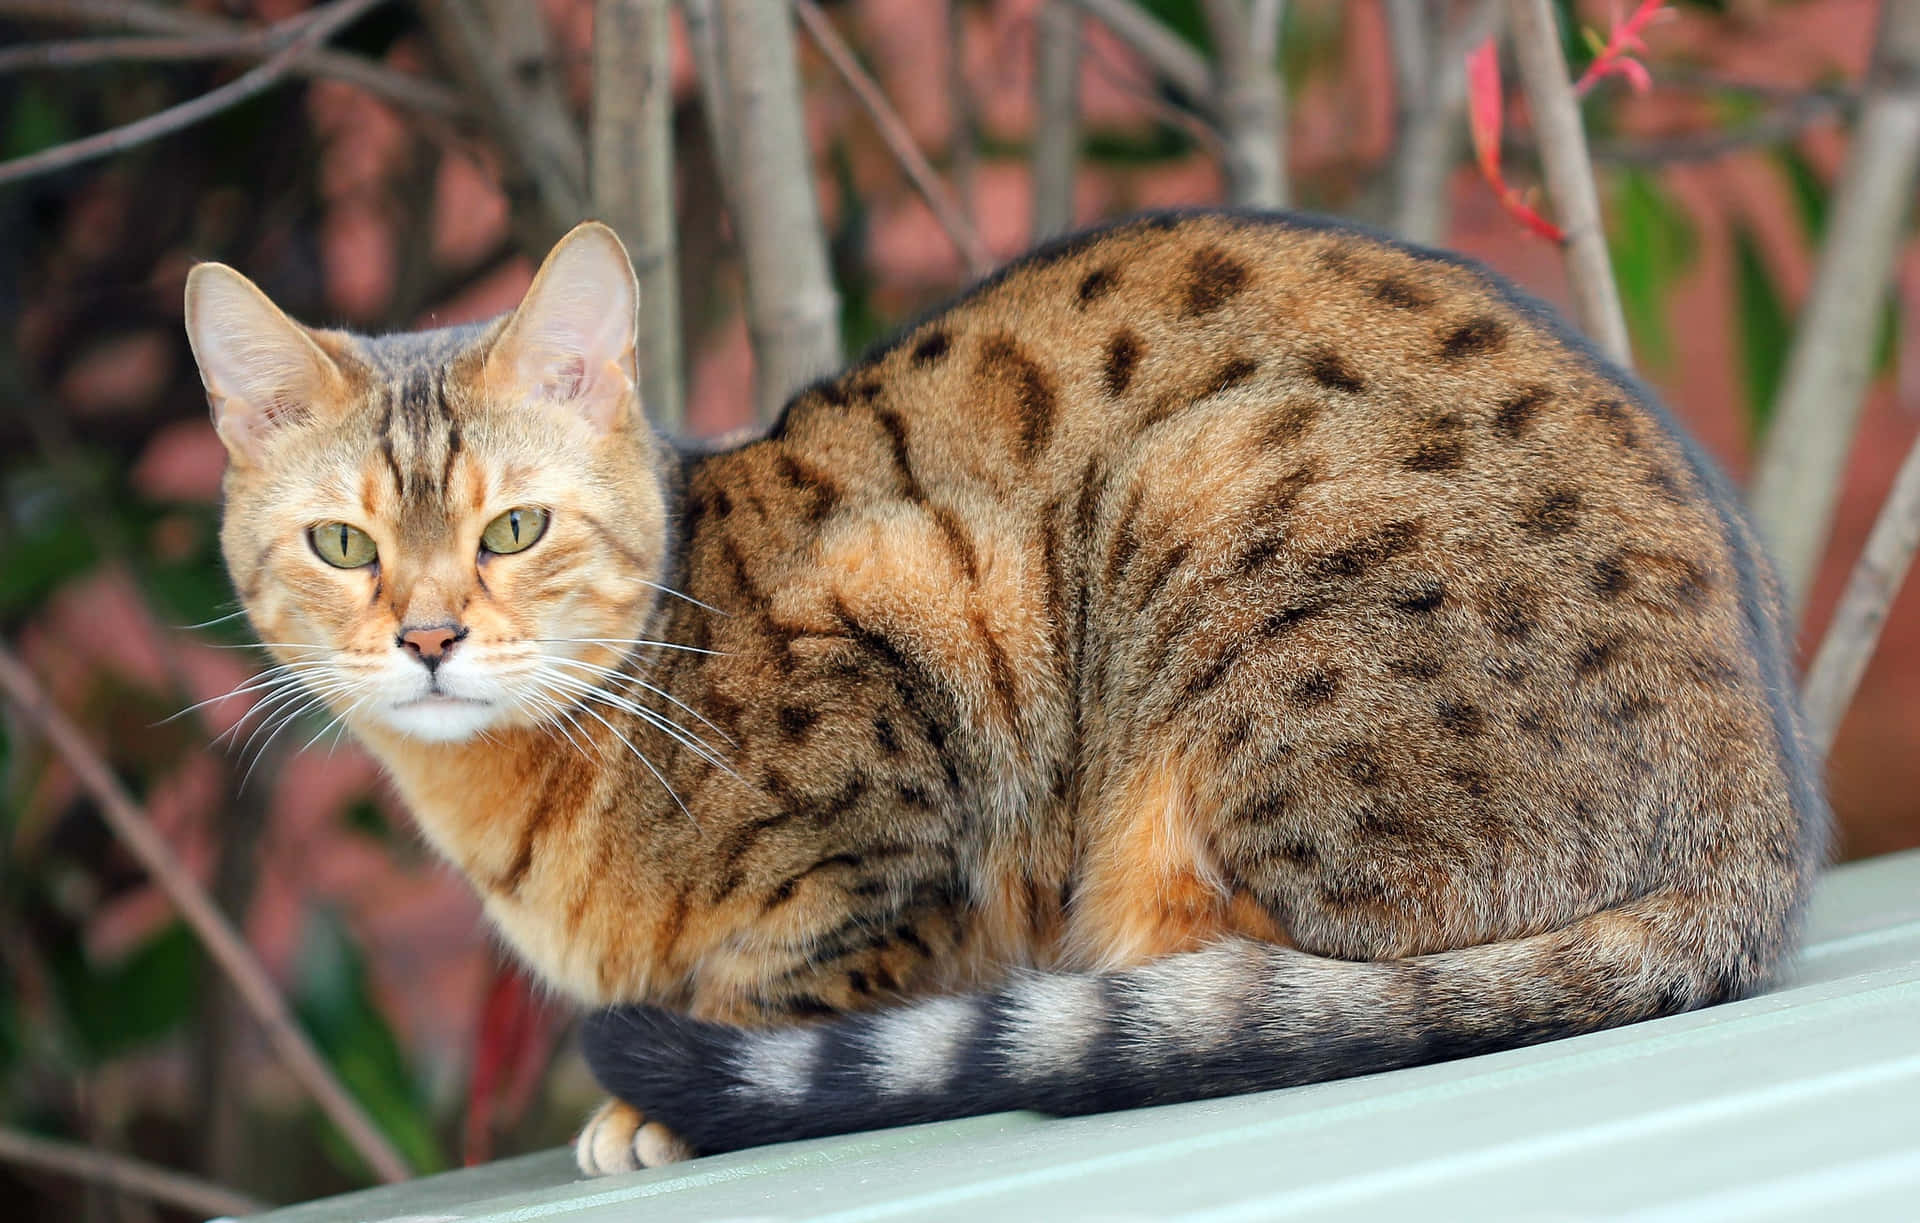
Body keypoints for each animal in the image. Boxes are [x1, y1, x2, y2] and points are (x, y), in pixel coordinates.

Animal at [191, 210, 1827, 1175]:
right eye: (343, 543)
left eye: (513, 528)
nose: (428, 636)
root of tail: (1759, 826)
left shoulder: (911, 692)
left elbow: (806, 961)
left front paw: (664, 1092)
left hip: (1208, 520)